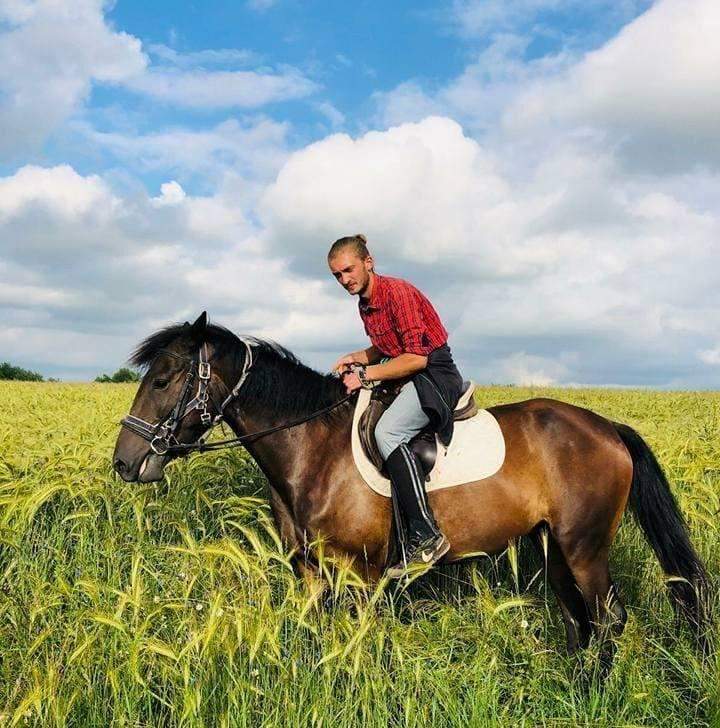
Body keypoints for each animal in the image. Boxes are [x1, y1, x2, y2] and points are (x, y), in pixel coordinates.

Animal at [112, 312, 708, 664]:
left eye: (163, 379)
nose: (125, 463)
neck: (312, 446)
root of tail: (606, 428)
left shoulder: (360, 575)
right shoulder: (311, 573)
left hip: (585, 546)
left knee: (607, 620)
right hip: (554, 546)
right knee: (578, 619)